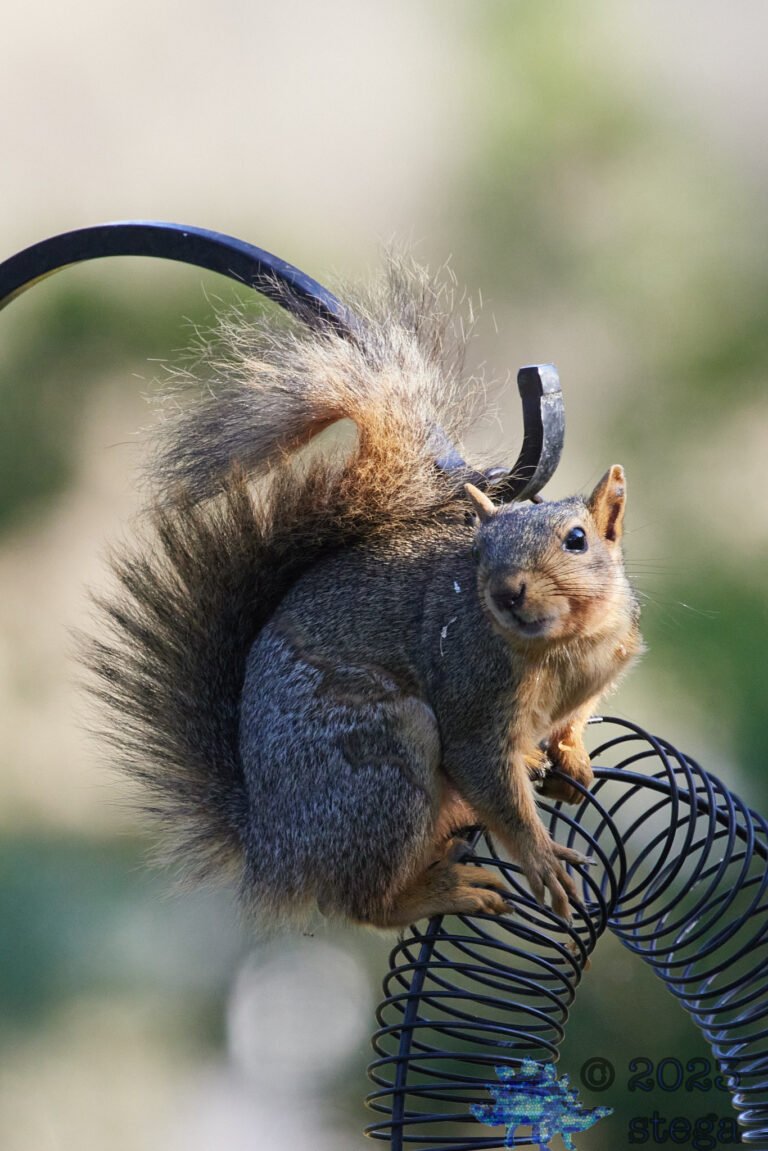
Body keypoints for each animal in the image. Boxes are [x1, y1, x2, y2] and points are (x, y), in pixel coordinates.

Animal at [85, 259, 643, 930]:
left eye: (578, 540)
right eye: (479, 551)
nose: (507, 591)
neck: (565, 645)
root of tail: (275, 848)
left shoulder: (603, 666)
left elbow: (574, 721)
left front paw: (571, 755)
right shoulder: (473, 699)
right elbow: (490, 781)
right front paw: (544, 861)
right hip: (382, 765)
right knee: (364, 903)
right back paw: (441, 891)